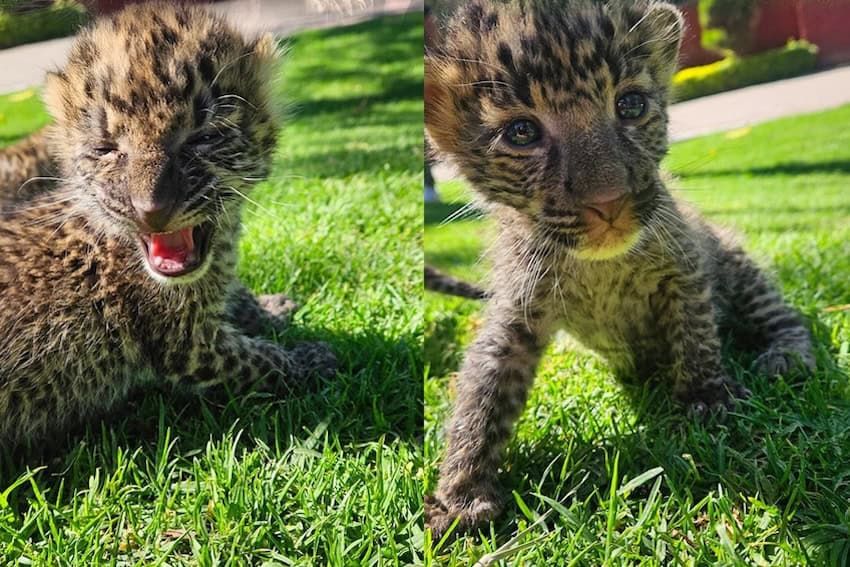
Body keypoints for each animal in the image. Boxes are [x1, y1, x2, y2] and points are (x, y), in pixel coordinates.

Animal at [0, 2, 337, 448]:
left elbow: (238, 297)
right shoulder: (190, 346)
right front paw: (313, 358)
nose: (151, 211)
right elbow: (262, 361)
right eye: (105, 149)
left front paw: (270, 307)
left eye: (203, 138)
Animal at [424, 0, 815, 538]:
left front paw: (706, 397)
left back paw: (786, 356)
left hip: (737, 264)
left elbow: (695, 332)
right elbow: (482, 394)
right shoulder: (517, 313)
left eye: (630, 105)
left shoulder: (686, 267)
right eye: (521, 132)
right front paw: (460, 494)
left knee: (781, 314)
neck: (600, 266)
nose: (608, 202)